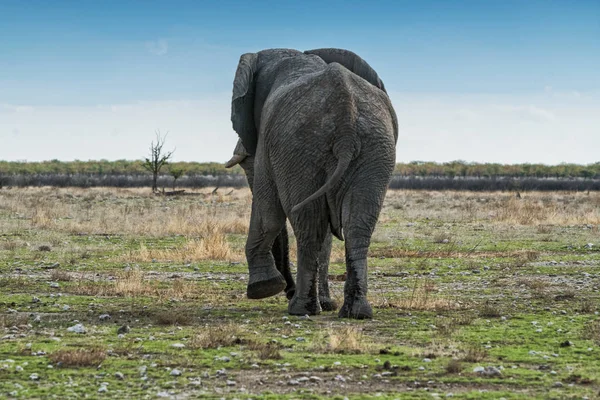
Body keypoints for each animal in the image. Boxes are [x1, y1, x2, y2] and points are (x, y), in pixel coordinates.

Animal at [227, 47, 396, 318]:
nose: (287, 288)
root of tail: (345, 113)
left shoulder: (268, 144)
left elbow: (268, 210)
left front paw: (264, 288)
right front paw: (326, 304)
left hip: (301, 148)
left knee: (309, 224)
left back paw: (300, 308)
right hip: (374, 147)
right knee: (357, 225)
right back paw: (355, 312)